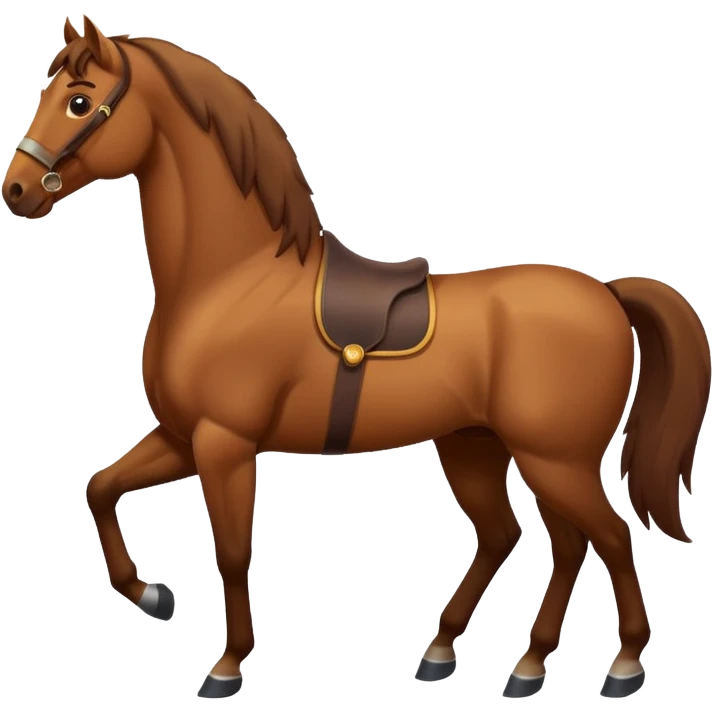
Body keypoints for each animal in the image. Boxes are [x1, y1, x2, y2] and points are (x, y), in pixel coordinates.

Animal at [2, 15, 710, 701]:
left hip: (555, 459)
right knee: (535, 540)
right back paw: (489, 661)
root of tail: (607, 293)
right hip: (479, 447)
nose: (16, 190)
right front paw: (151, 594)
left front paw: (226, 667)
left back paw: (621, 667)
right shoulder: (182, 437)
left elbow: (231, 553)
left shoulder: (224, 444)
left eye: (79, 100)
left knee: (607, 537)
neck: (235, 278)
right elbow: (101, 487)